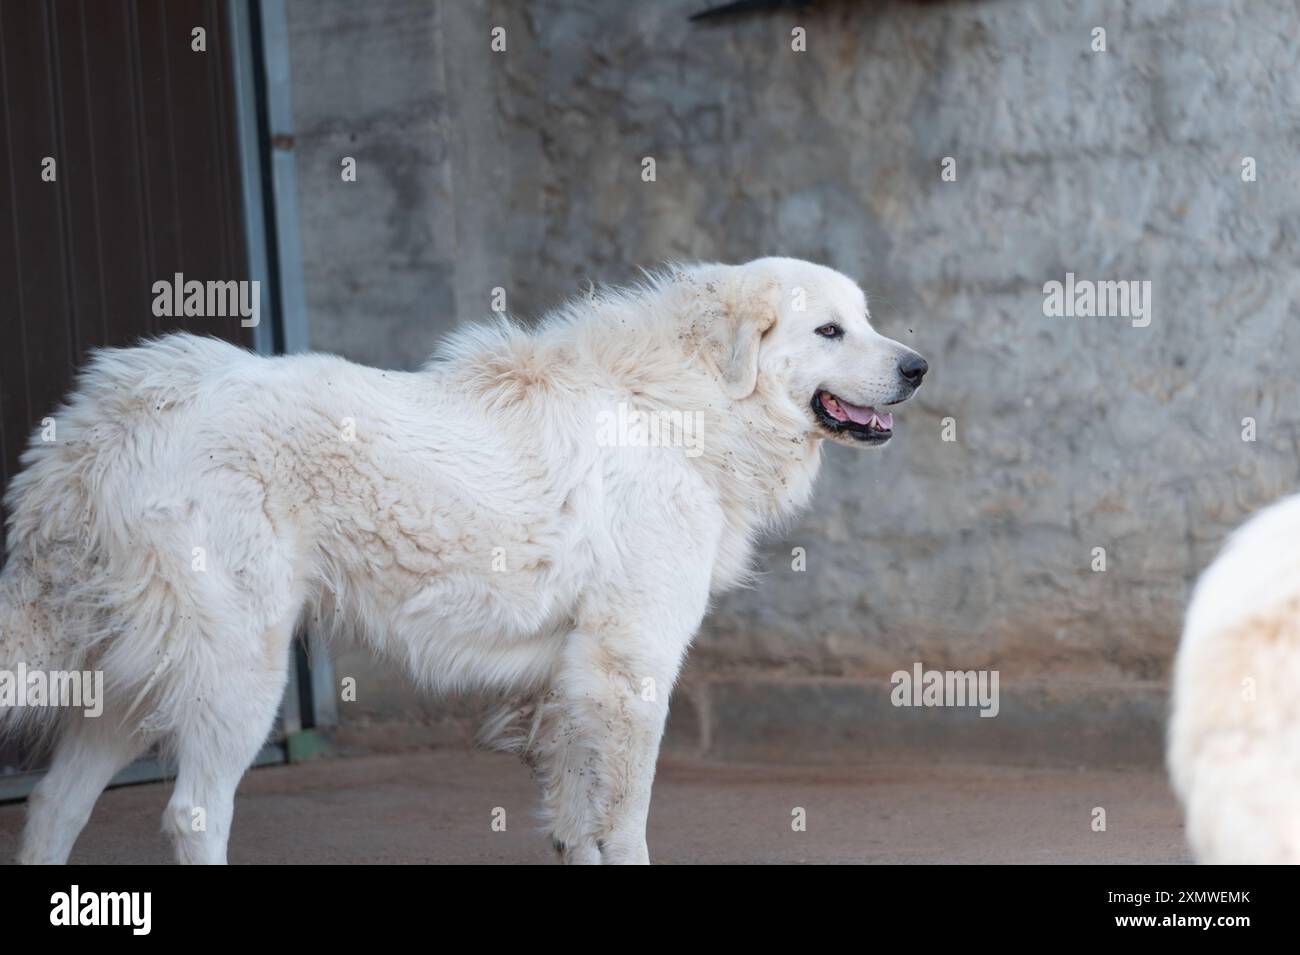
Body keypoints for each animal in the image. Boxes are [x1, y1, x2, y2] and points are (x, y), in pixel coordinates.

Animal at [5, 257, 930, 862]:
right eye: (831, 330)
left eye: (868, 321)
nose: (920, 365)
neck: (678, 404)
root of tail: (114, 410)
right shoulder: (628, 666)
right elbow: (623, 822)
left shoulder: (569, 684)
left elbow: (575, 824)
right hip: (236, 667)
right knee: (194, 813)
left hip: (132, 676)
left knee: (53, 805)